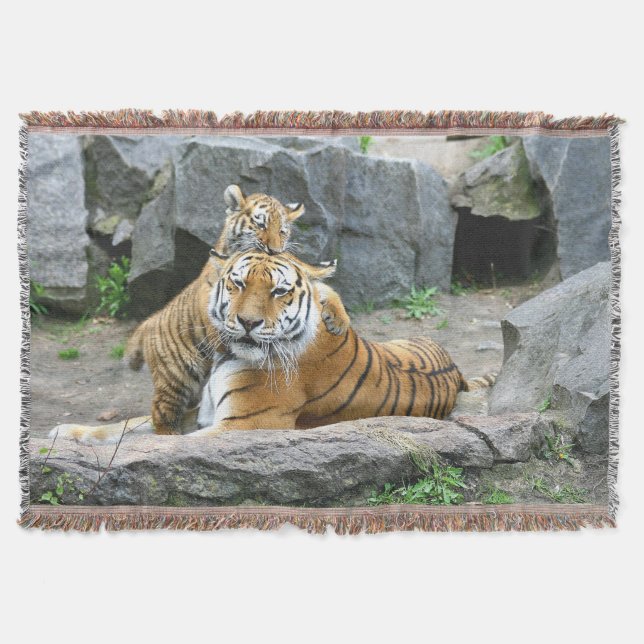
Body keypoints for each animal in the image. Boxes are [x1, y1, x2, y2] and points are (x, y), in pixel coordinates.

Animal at [60, 251, 494, 443]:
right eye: (237, 283)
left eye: (279, 291)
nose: (248, 323)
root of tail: (457, 371)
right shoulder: (199, 412)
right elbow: (128, 425)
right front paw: (66, 431)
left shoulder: (242, 424)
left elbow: (162, 443)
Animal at [124, 185, 351, 435]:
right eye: (261, 224)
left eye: (282, 231)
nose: (274, 250)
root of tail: (149, 321)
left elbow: (322, 288)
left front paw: (338, 320)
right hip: (176, 378)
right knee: (162, 412)